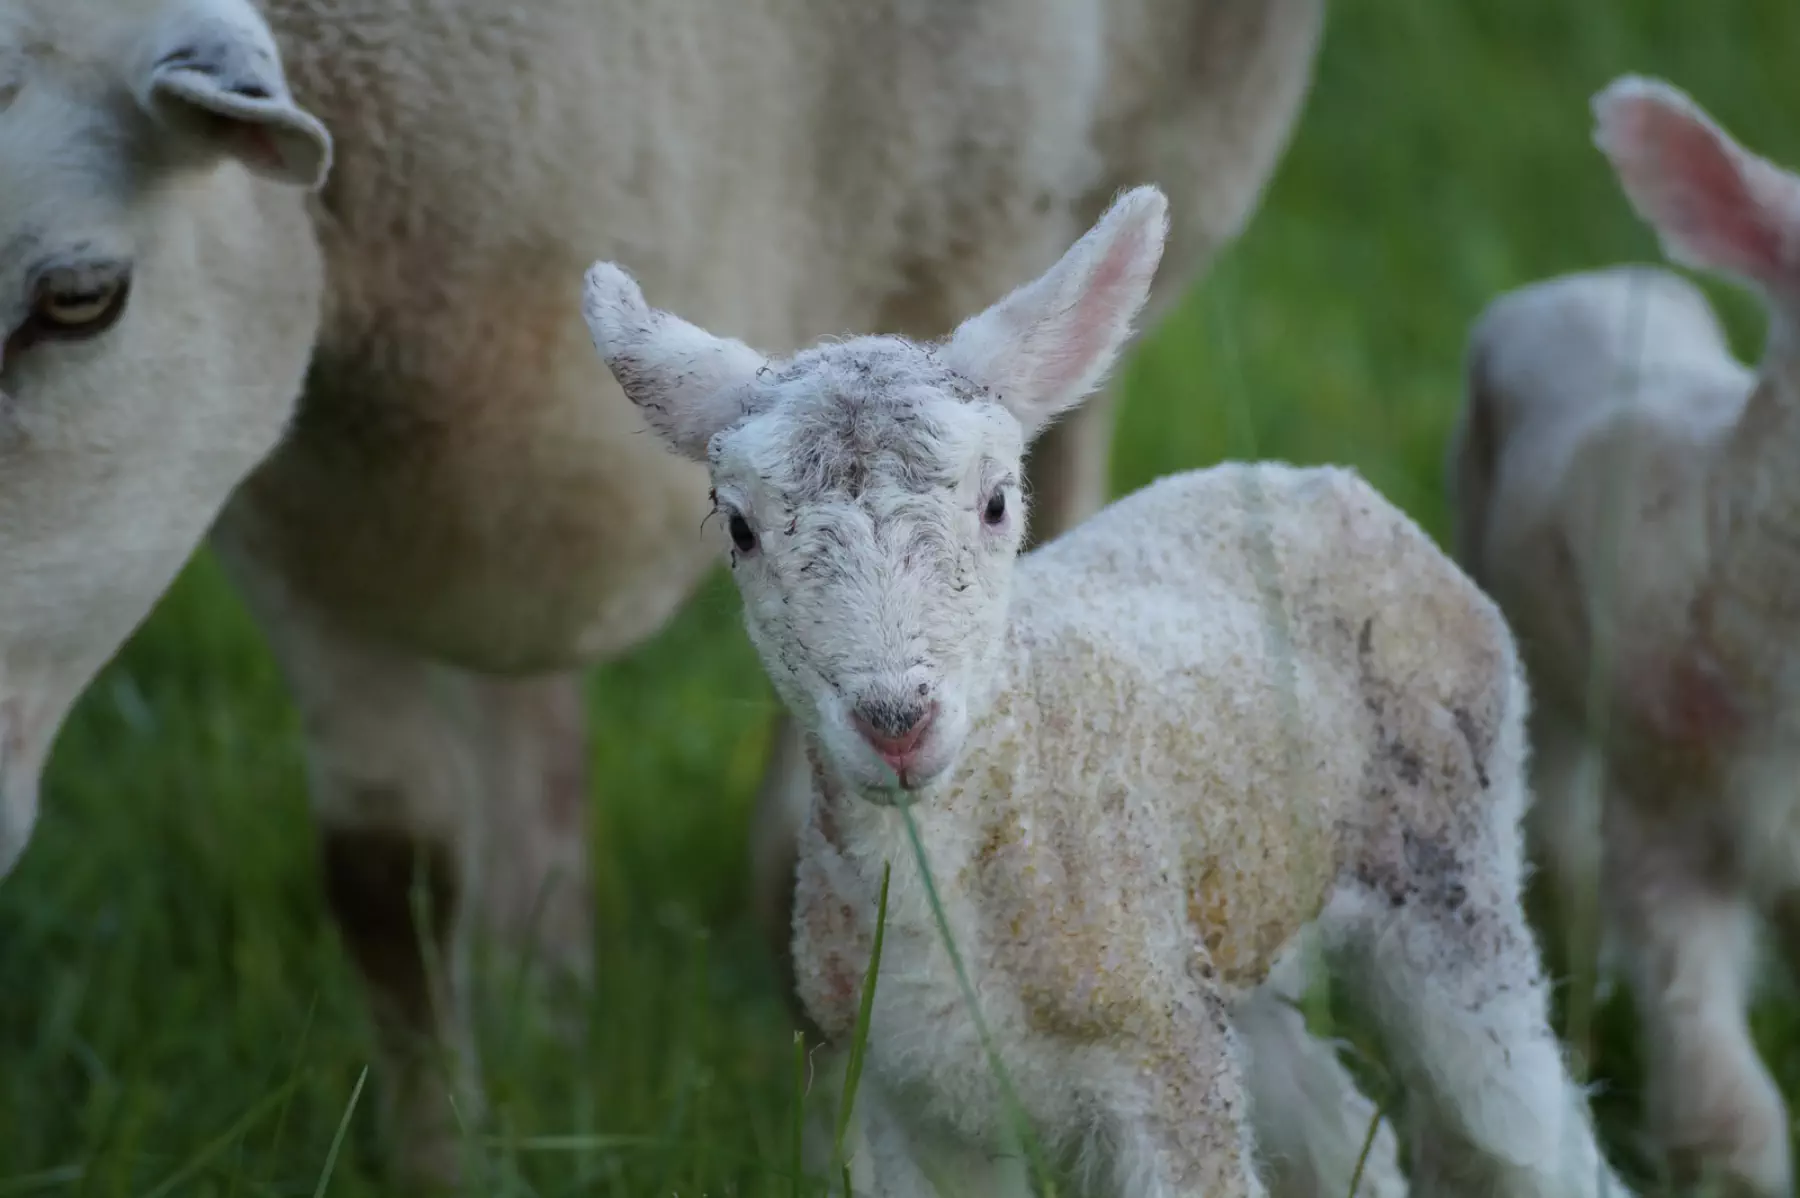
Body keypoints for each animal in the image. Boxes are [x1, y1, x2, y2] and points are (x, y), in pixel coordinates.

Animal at [0, 0, 1324, 1180]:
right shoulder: (287, 508)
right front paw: (446, 1163)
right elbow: (386, 871)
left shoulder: (958, 230)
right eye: (736, 523)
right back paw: (549, 1002)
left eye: (79, 300)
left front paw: (826, 1143)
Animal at [583, 187, 1627, 1194]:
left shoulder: (1162, 1067)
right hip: (1227, 935)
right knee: (1342, 1133)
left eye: (999, 501)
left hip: (1451, 862)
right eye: (741, 529)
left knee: (1533, 1134)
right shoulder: (902, 1101)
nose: (896, 722)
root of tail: (1328, 484)